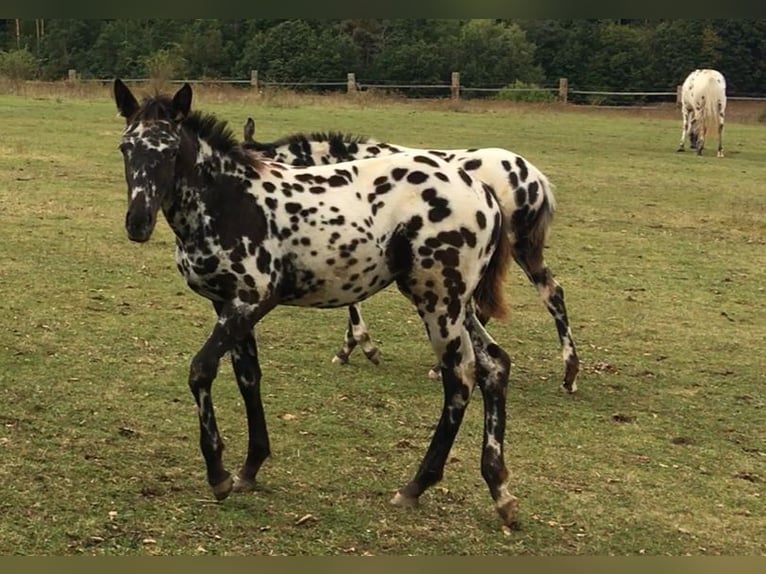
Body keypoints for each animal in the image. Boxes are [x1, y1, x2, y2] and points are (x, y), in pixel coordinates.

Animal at [112, 80, 520, 532]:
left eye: (169, 150)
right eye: (126, 147)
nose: (138, 222)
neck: (230, 201)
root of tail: (482, 190)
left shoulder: (251, 301)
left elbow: (201, 370)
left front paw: (218, 473)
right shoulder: (227, 305)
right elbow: (248, 377)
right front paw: (250, 468)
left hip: (438, 302)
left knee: (460, 376)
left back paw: (416, 485)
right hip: (458, 305)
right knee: (494, 365)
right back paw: (500, 490)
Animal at [243, 117, 580, 396]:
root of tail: (535, 177)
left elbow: (353, 302)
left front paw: (363, 346)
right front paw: (349, 348)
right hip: (520, 253)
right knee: (549, 293)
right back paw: (569, 374)